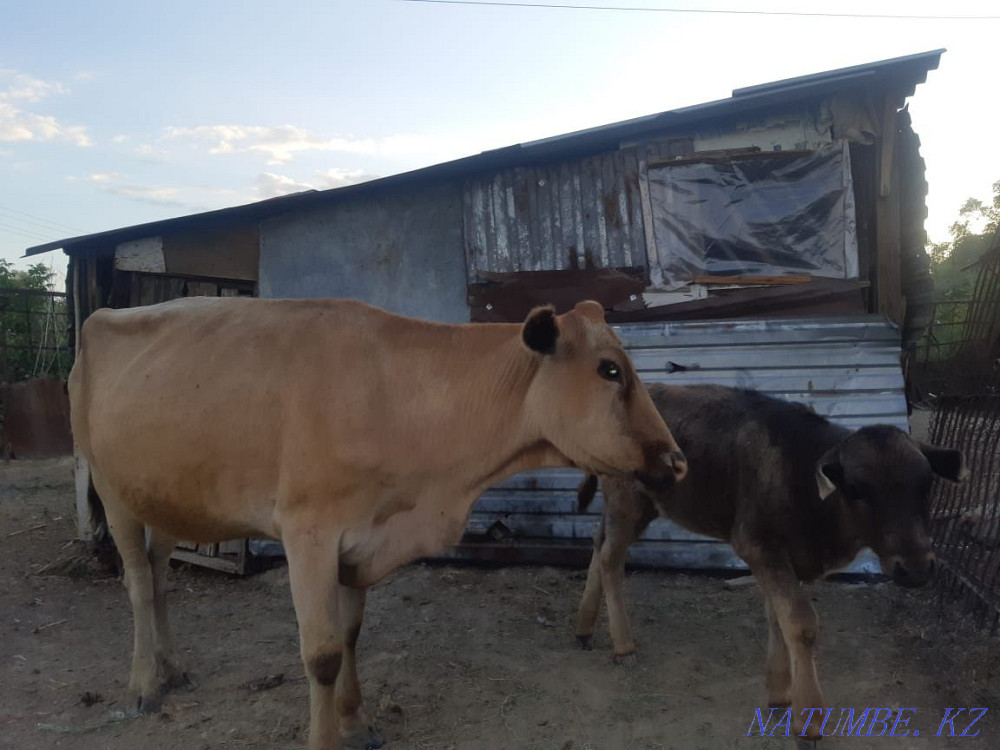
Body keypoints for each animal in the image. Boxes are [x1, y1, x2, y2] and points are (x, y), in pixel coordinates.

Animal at [68, 296, 688, 750]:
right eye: (610, 370)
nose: (678, 460)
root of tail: (102, 316)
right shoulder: (309, 533)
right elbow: (320, 654)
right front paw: (324, 740)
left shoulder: (360, 541)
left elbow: (349, 636)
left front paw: (357, 721)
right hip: (111, 488)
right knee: (138, 583)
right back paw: (145, 684)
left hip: (164, 495)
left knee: (159, 576)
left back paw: (173, 668)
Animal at [572, 384, 967, 740]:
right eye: (857, 489)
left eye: (927, 484)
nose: (916, 568)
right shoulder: (757, 544)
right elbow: (801, 623)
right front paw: (808, 720)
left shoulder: (782, 558)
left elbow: (778, 616)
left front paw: (779, 693)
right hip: (627, 499)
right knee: (610, 558)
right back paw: (623, 645)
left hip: (634, 505)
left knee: (597, 544)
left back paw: (584, 627)